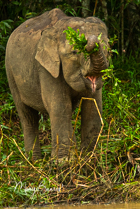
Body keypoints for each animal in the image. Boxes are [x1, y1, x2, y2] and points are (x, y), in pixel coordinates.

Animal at [5, 8, 109, 160]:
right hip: (11, 73)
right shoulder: (46, 68)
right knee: (27, 116)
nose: (91, 39)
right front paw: (63, 162)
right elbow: (59, 106)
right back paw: (35, 161)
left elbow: (93, 107)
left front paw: (88, 159)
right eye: (74, 52)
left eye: (109, 49)